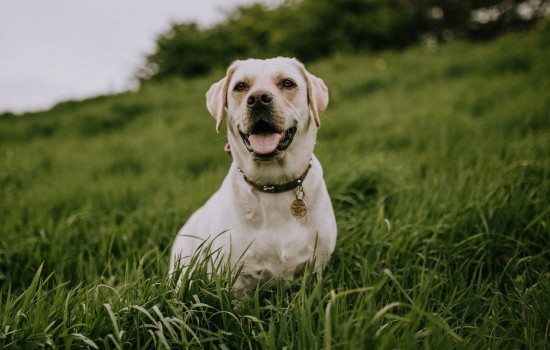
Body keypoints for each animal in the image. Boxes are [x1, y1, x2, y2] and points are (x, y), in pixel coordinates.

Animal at [170, 57, 338, 296]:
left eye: (287, 83)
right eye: (240, 86)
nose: (258, 99)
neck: (272, 186)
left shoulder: (317, 269)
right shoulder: (236, 281)